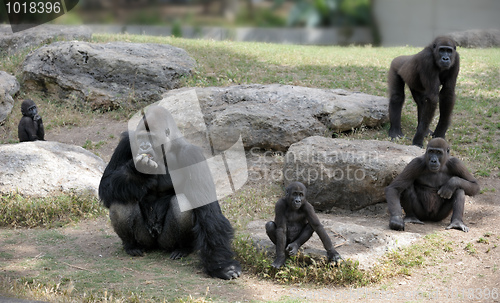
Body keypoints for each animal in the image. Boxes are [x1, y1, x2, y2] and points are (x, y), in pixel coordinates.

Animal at [98, 105, 242, 282]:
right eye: (140, 138)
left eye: (151, 138)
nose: (144, 147)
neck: (167, 148)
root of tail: (156, 244)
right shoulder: (126, 143)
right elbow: (106, 184)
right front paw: (138, 174)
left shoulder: (192, 155)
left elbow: (207, 211)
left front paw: (221, 266)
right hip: (145, 239)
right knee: (121, 200)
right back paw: (132, 245)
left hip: (166, 241)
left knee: (182, 204)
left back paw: (183, 248)